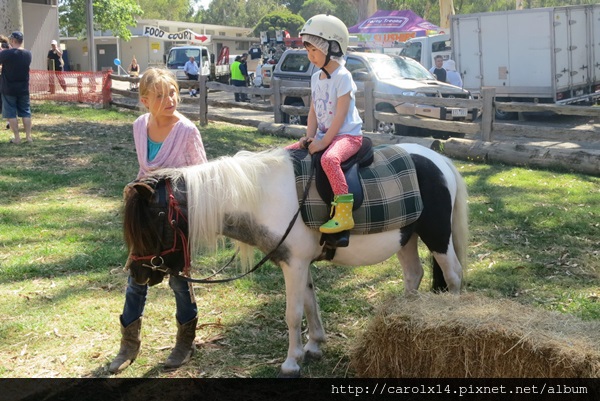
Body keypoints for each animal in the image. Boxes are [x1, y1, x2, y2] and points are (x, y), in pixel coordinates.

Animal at [122, 143, 468, 376]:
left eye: (154, 219)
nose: (138, 273)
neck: (263, 196)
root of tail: (441, 161)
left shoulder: (295, 264)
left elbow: (293, 313)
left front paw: (291, 362)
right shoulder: (300, 264)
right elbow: (310, 302)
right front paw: (313, 347)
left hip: (437, 236)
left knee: (453, 275)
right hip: (406, 237)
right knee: (414, 274)